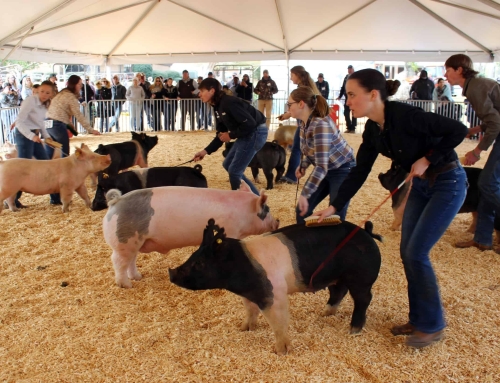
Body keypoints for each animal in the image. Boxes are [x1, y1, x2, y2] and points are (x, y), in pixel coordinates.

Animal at [103, 182, 280, 288]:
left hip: (133, 242)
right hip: (124, 242)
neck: (244, 212)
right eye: (267, 210)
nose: (277, 221)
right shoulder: (231, 231)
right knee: (118, 261)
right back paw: (126, 285)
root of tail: (115, 202)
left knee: (130, 260)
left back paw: (138, 277)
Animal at [169, 218, 382, 356]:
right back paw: (324, 314)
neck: (241, 267)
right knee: (339, 291)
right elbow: (250, 311)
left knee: (363, 299)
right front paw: (243, 329)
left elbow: (278, 323)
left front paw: (280, 352)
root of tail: (367, 234)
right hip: (338, 278)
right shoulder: (249, 294)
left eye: (200, 264)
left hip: (361, 278)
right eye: (192, 256)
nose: (171, 272)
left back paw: (353, 330)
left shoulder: (274, 295)